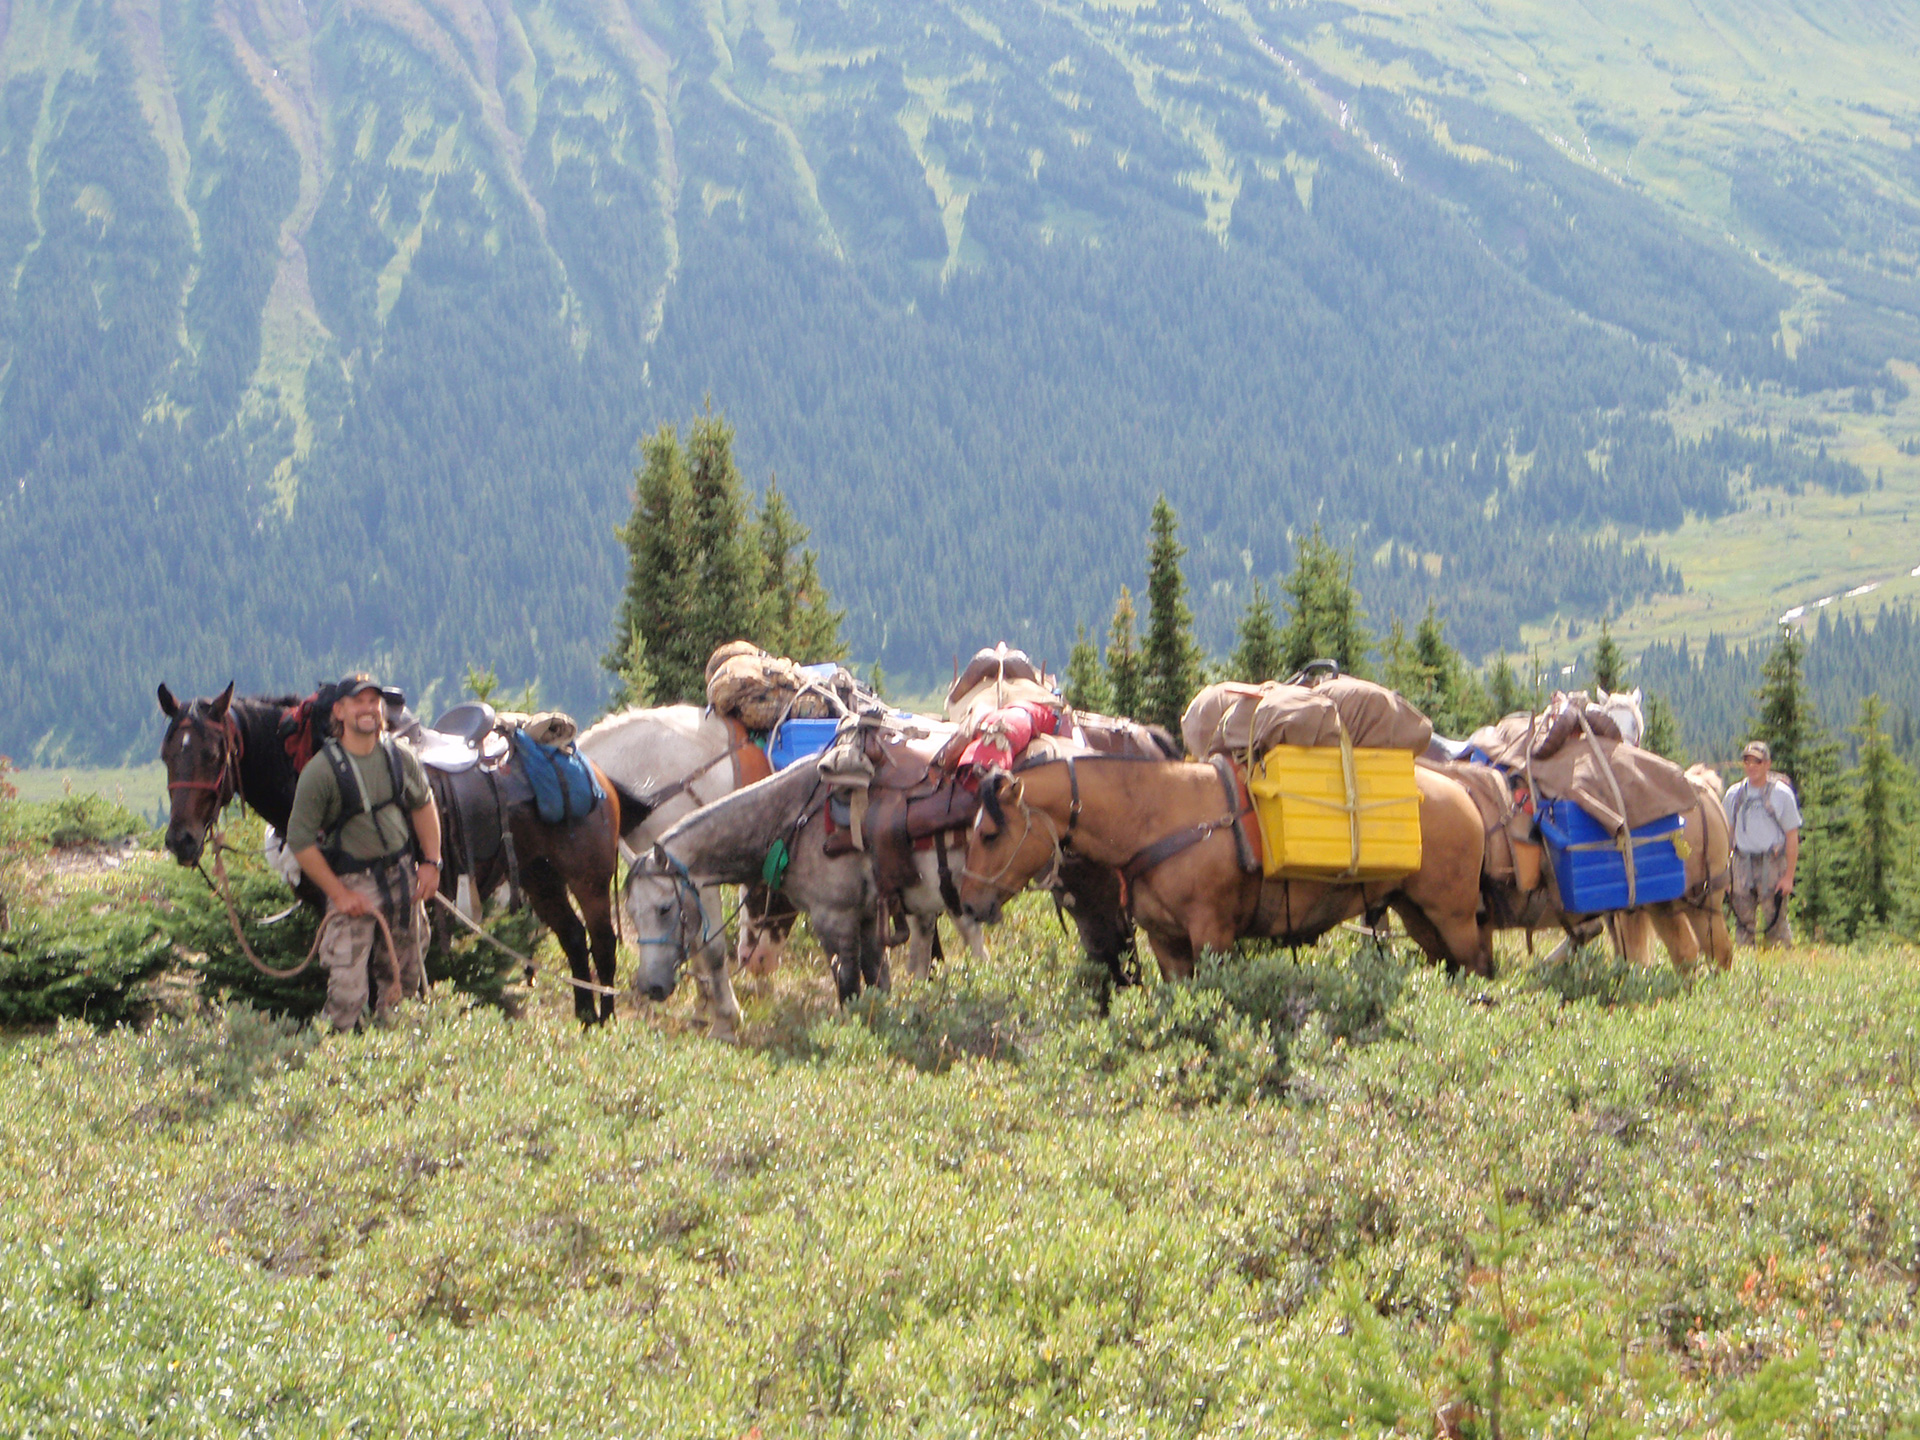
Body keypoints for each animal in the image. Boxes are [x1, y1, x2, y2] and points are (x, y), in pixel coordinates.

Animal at [157, 682, 627, 1023]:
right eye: (166, 755)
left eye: (212, 754)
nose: (181, 840)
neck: (305, 768)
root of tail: (594, 769)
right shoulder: (336, 905)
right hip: (539, 877)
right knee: (573, 938)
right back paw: (585, 1020)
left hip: (588, 878)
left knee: (602, 942)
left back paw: (606, 1022)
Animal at [959, 754, 1491, 977]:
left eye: (989, 834)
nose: (968, 904)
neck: (1157, 818)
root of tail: (1466, 795)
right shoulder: (1166, 942)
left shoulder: (1212, 934)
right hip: (1418, 915)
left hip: (1454, 916)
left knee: (1478, 970)